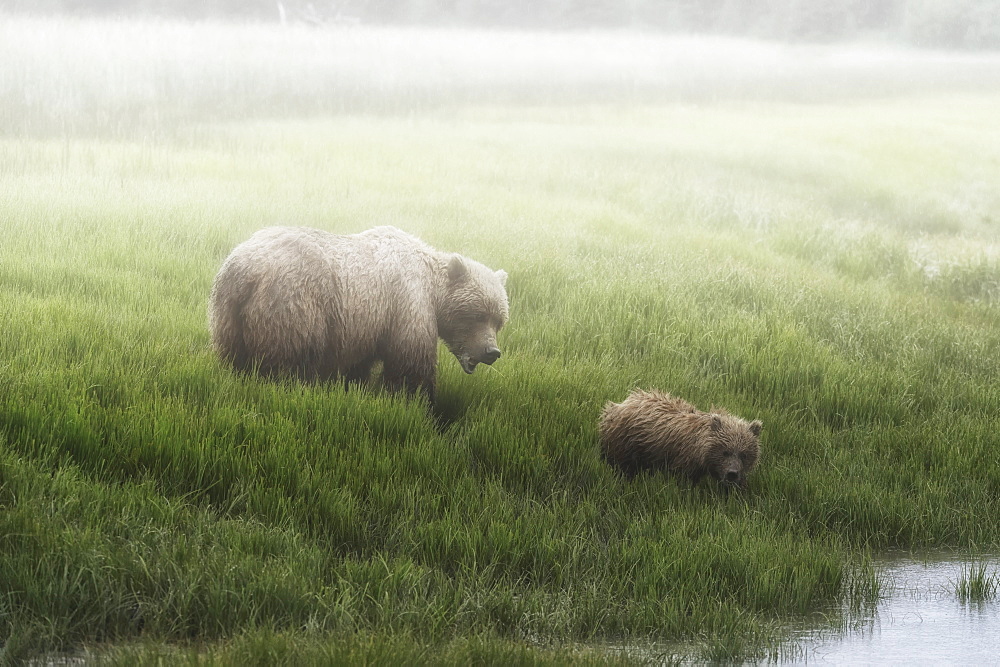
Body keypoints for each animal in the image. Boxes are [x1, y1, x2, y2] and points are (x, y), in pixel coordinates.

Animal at [208, 224, 512, 404]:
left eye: (499, 320)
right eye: (477, 314)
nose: (492, 352)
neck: (433, 289)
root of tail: (246, 270)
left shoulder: (364, 325)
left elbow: (357, 364)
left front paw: (354, 386)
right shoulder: (407, 303)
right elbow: (410, 361)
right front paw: (418, 400)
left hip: (227, 315)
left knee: (234, 359)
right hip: (293, 303)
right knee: (289, 361)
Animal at [596, 386, 760, 490]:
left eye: (744, 454)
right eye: (725, 451)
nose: (732, 474)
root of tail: (622, 402)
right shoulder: (683, 459)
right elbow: (684, 481)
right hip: (625, 442)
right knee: (621, 465)